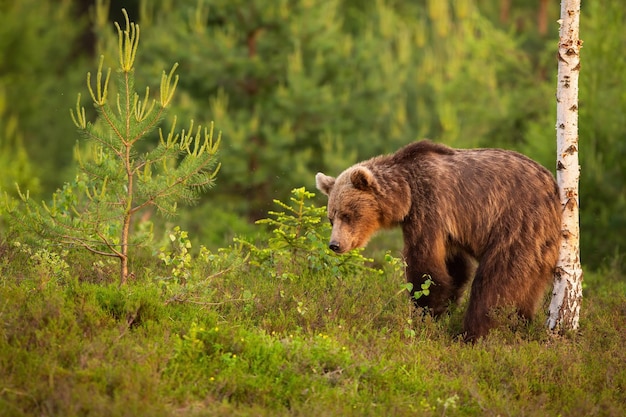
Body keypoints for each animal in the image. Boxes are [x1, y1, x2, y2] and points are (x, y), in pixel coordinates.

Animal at [314, 141, 560, 342]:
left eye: (347, 215)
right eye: (331, 218)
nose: (335, 245)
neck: (406, 192)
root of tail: (554, 192)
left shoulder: (430, 206)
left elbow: (426, 268)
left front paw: (425, 315)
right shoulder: (449, 231)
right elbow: (455, 269)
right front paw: (445, 308)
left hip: (517, 225)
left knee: (494, 283)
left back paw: (471, 335)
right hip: (540, 250)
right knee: (525, 290)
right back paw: (520, 326)